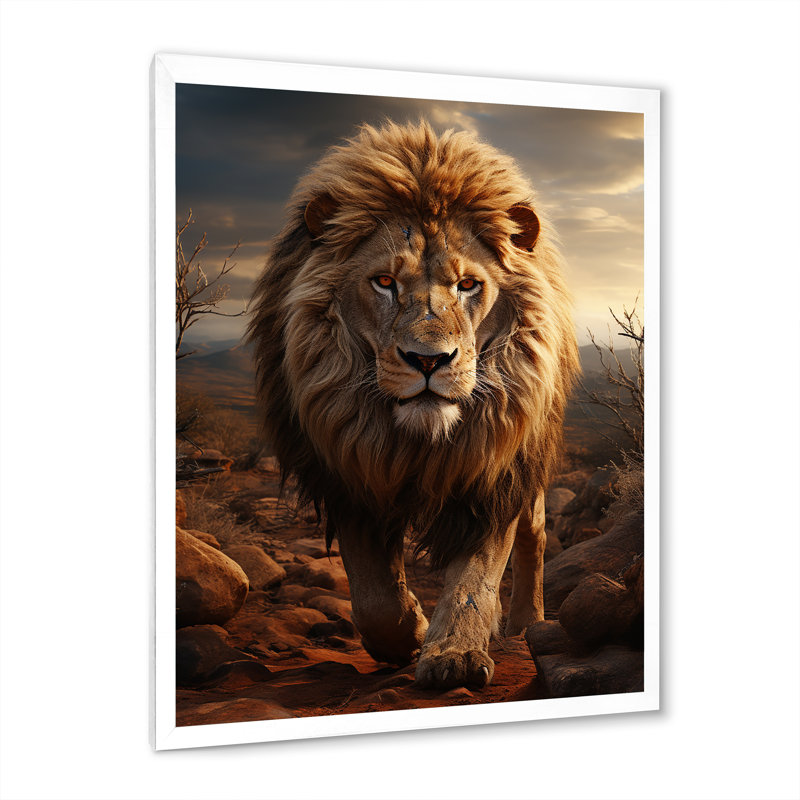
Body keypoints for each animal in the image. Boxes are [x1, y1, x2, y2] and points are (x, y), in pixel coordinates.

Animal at [248, 120, 579, 689]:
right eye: (384, 282)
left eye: (468, 285)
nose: (429, 360)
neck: (418, 441)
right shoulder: (347, 467)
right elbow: (375, 599)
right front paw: (409, 635)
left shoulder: (490, 470)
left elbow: (475, 576)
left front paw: (456, 654)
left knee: (535, 535)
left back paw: (525, 623)